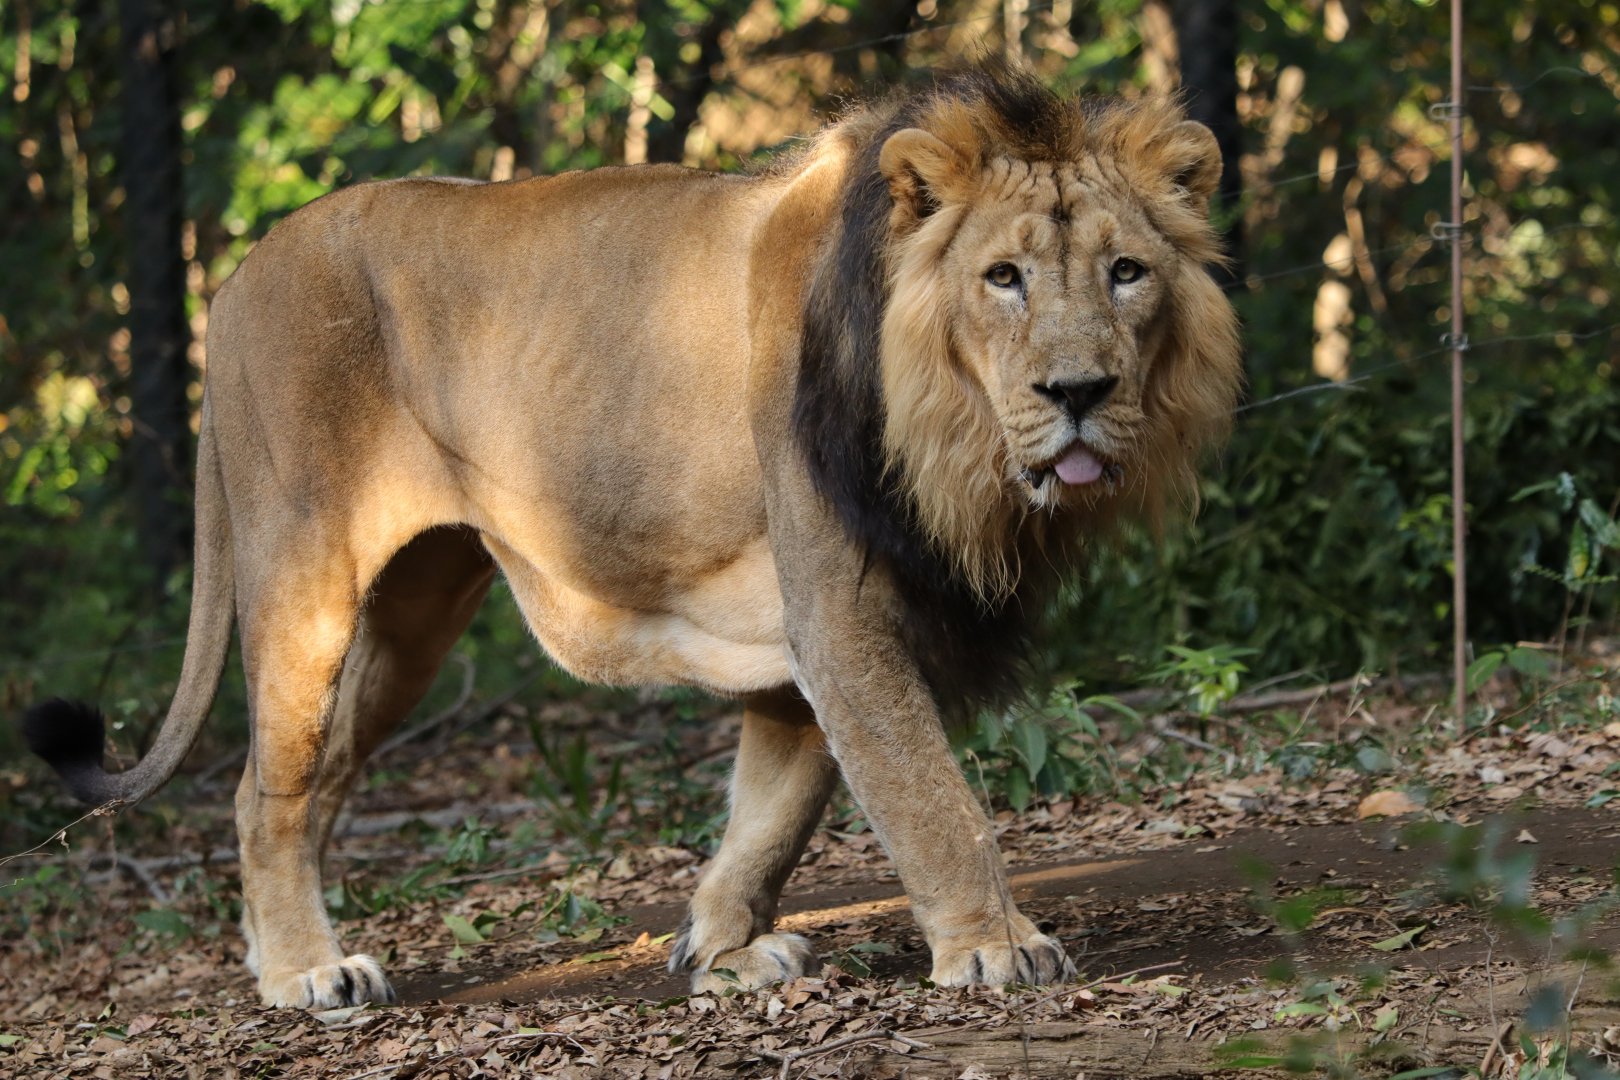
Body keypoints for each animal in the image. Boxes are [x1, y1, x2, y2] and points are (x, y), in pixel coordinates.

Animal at [23, 64, 1240, 1009]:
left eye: (1127, 272)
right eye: (1004, 278)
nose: (1080, 392)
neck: (954, 441)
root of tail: (232, 281)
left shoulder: (798, 643)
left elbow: (773, 813)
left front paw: (723, 951)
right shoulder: (841, 611)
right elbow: (932, 799)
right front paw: (994, 948)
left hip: (415, 614)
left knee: (316, 779)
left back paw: (284, 951)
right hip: (304, 575)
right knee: (263, 790)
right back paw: (304, 975)